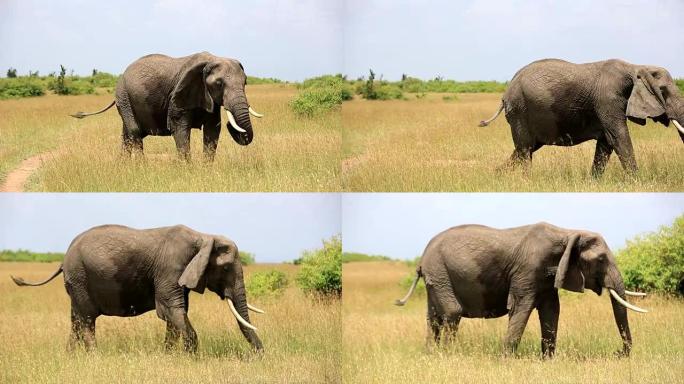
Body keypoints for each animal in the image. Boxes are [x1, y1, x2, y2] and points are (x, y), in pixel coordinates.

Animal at [11, 225, 262, 354]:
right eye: (226, 268)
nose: (259, 355)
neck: (204, 237)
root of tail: (64, 258)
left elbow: (176, 314)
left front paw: (169, 356)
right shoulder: (170, 268)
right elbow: (171, 310)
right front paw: (192, 358)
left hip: (76, 281)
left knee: (76, 319)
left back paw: (71, 357)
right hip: (80, 277)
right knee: (87, 320)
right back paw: (95, 357)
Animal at [69, 51, 262, 160]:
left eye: (245, 82)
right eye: (219, 84)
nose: (233, 124)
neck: (211, 59)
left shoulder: (208, 99)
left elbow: (213, 130)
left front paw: (206, 171)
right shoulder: (180, 96)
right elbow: (180, 128)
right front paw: (187, 171)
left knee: (126, 134)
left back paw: (123, 167)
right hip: (123, 96)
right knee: (134, 131)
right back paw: (140, 168)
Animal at [396, 222, 648, 356]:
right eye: (601, 259)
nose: (618, 353)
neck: (566, 233)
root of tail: (421, 260)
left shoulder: (548, 275)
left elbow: (551, 311)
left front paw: (548, 361)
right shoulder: (527, 270)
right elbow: (521, 307)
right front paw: (505, 361)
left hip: (436, 278)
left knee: (433, 317)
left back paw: (431, 355)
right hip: (440, 273)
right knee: (451, 312)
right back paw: (448, 356)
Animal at [476, 59, 684, 177]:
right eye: (663, 92)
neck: (635, 68)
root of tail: (505, 94)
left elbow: (605, 143)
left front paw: (593, 182)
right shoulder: (607, 99)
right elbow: (618, 137)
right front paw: (637, 182)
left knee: (523, 150)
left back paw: (496, 176)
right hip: (520, 109)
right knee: (525, 150)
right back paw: (526, 181)